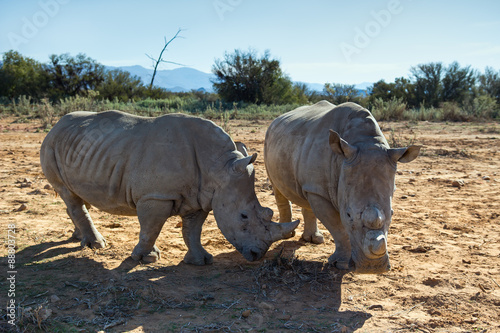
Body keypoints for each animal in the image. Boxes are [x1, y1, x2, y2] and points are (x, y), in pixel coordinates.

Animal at [41, 111, 298, 264]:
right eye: (243, 216)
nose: (257, 255)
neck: (218, 166)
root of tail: (56, 125)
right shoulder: (155, 196)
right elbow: (151, 228)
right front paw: (145, 258)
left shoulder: (200, 196)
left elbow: (193, 230)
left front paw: (200, 261)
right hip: (50, 145)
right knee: (69, 195)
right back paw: (97, 244)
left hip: (79, 147)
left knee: (73, 196)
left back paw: (79, 239)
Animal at [264, 101, 420, 272]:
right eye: (348, 214)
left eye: (392, 213)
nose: (372, 268)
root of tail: (276, 120)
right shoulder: (321, 192)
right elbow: (338, 228)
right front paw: (342, 265)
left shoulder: (319, 186)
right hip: (269, 141)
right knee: (277, 187)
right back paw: (288, 235)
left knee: (306, 192)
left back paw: (314, 239)